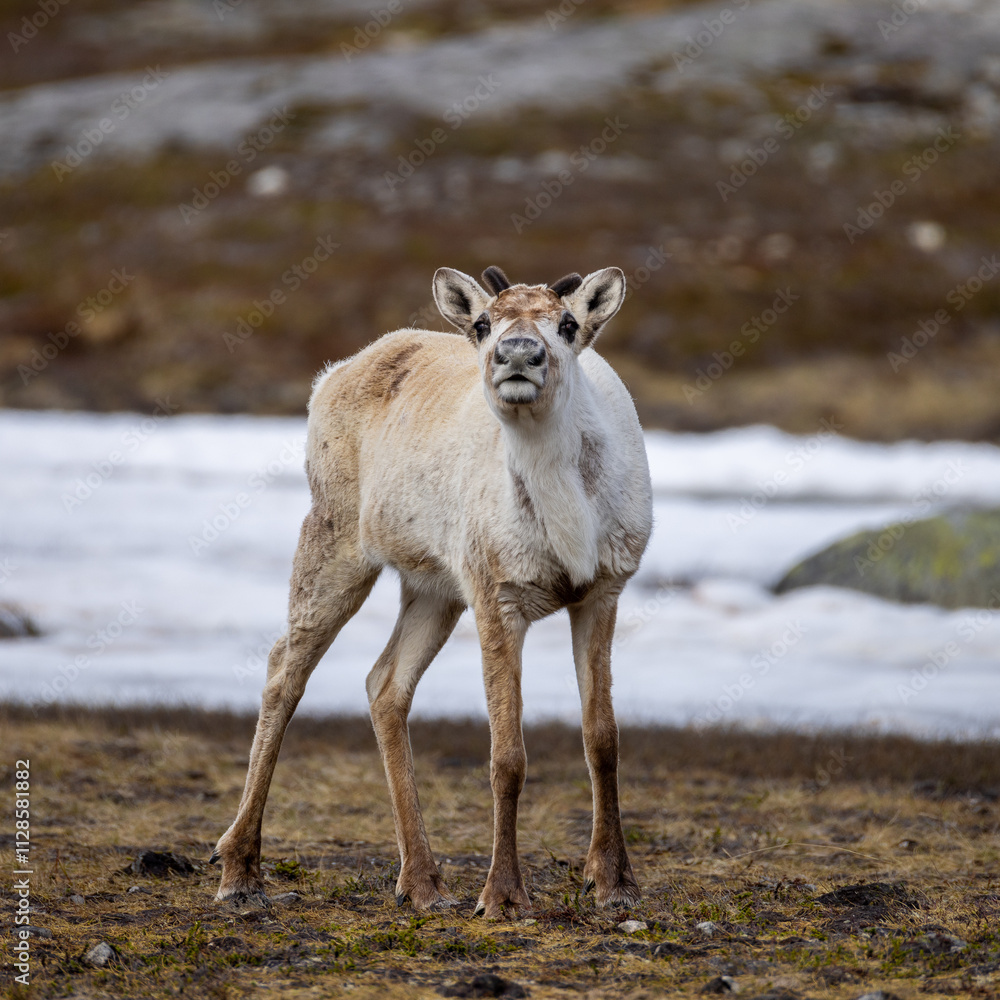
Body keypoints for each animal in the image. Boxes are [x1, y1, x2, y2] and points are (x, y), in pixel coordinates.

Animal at [210, 265, 653, 918]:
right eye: (484, 323)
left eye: (569, 324)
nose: (517, 354)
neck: (568, 507)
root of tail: (332, 375)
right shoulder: (498, 596)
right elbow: (507, 757)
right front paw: (503, 895)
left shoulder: (601, 593)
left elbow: (602, 739)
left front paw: (613, 882)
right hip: (336, 543)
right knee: (284, 671)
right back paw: (239, 867)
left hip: (435, 589)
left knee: (385, 684)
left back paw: (421, 881)